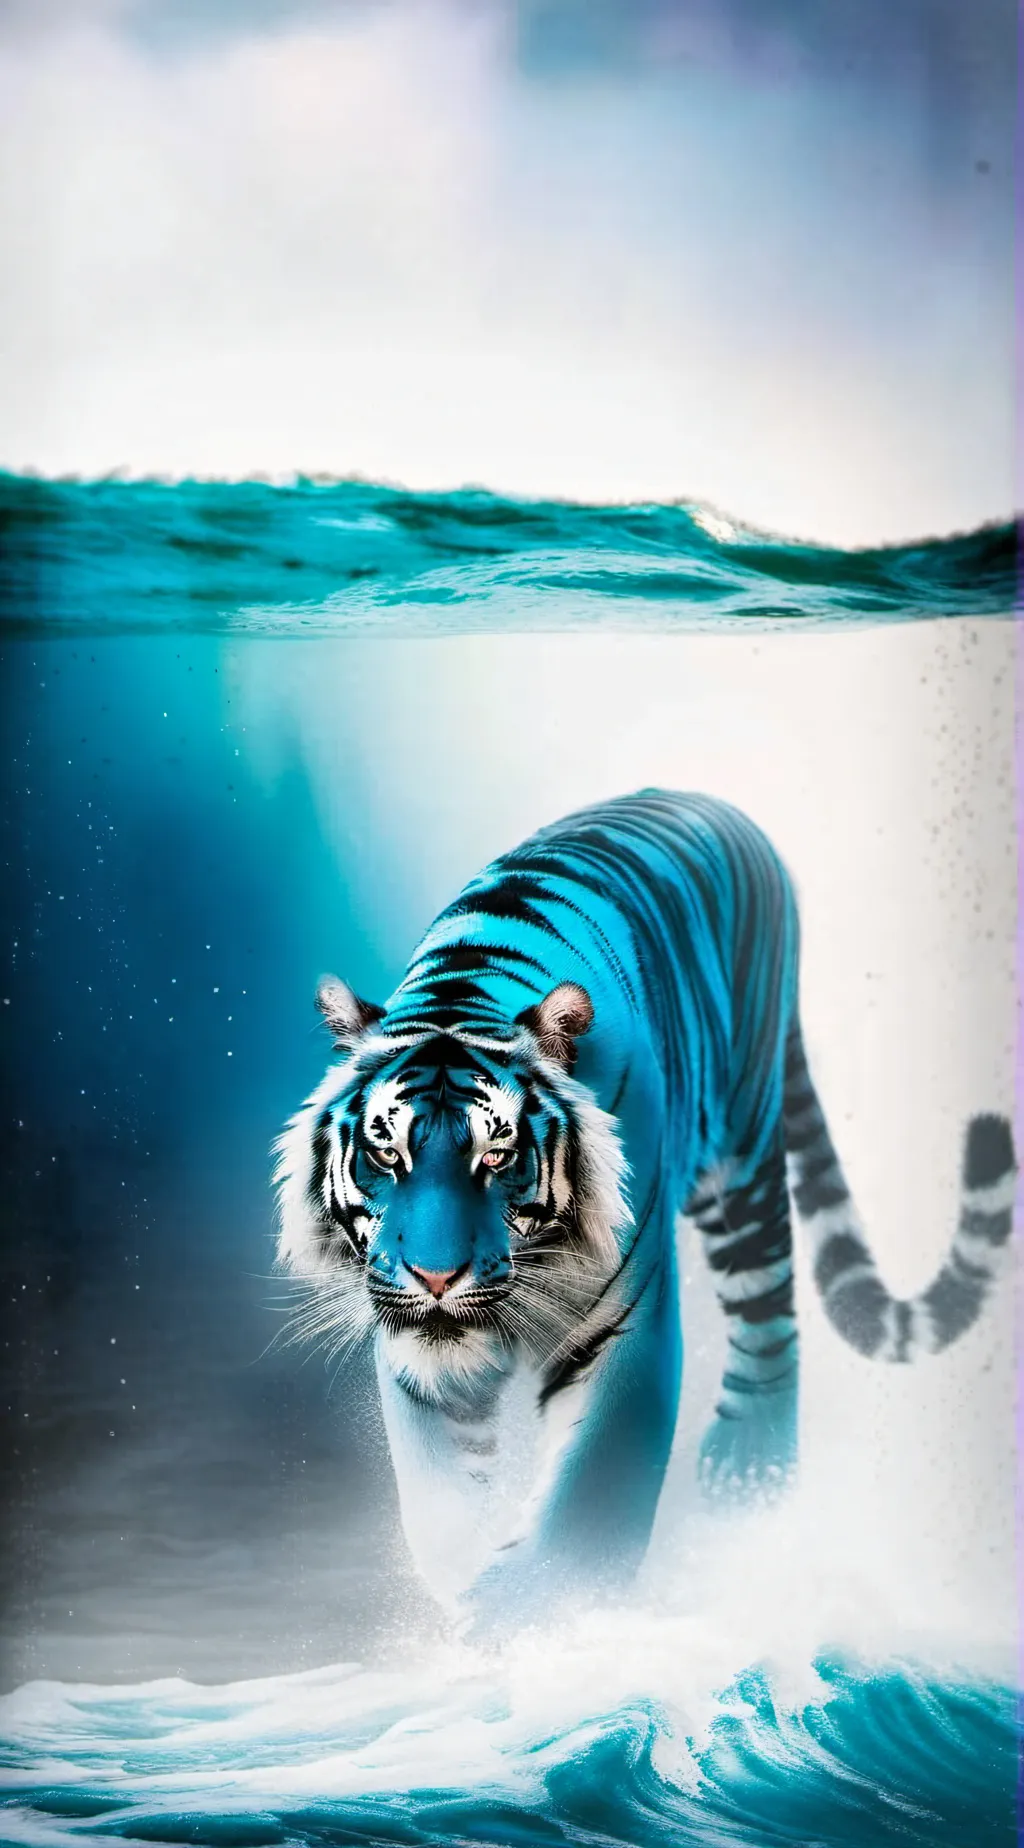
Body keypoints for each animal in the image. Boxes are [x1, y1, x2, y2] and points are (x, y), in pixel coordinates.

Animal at [274, 790, 1015, 1635]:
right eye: (384, 1152)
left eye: (497, 1156)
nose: (434, 1277)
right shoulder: (415, 1354)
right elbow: (441, 1502)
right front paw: (470, 1589)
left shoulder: (623, 1321)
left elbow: (592, 1492)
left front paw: (537, 1607)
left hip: (740, 1151)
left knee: (769, 1296)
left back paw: (751, 1468)